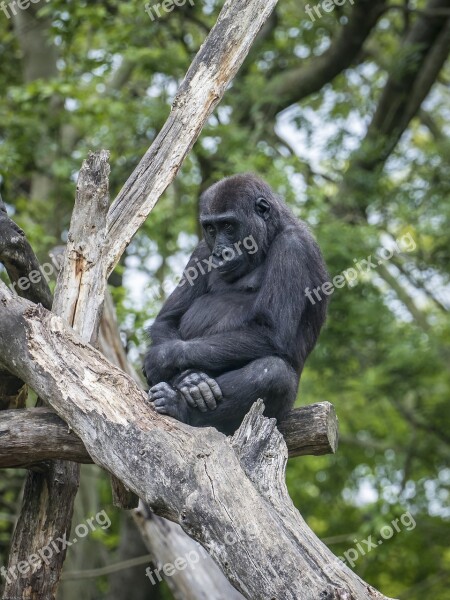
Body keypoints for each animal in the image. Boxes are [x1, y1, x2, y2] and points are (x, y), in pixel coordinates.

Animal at [143, 171, 326, 434]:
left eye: (228, 225)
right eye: (210, 228)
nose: (219, 253)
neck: (271, 232)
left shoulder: (293, 247)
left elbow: (270, 333)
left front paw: (163, 359)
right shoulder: (201, 249)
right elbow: (167, 320)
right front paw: (190, 378)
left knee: (273, 373)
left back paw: (179, 406)